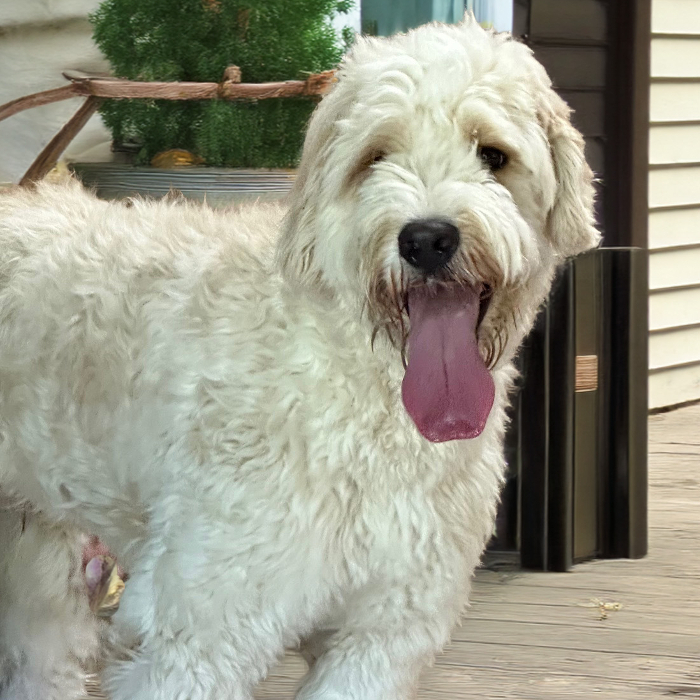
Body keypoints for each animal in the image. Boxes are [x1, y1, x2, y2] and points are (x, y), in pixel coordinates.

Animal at [0, 15, 600, 700]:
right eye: (375, 157)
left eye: (494, 154)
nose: (427, 239)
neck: (366, 394)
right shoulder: (201, 634)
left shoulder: (381, 635)